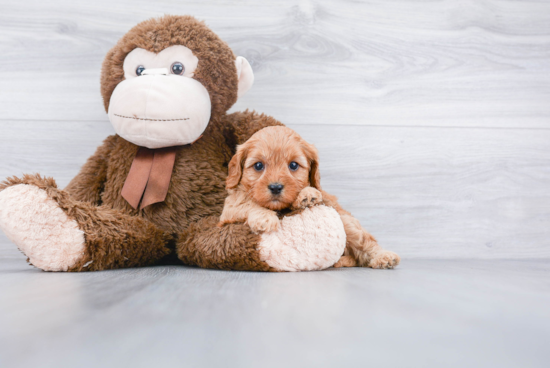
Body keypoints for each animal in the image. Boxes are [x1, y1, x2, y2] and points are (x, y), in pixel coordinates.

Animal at [219, 125, 402, 268]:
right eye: (258, 166)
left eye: (293, 165)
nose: (276, 187)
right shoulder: (229, 210)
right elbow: (246, 202)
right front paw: (264, 218)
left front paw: (306, 194)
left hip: (347, 222)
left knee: (364, 242)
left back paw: (383, 257)